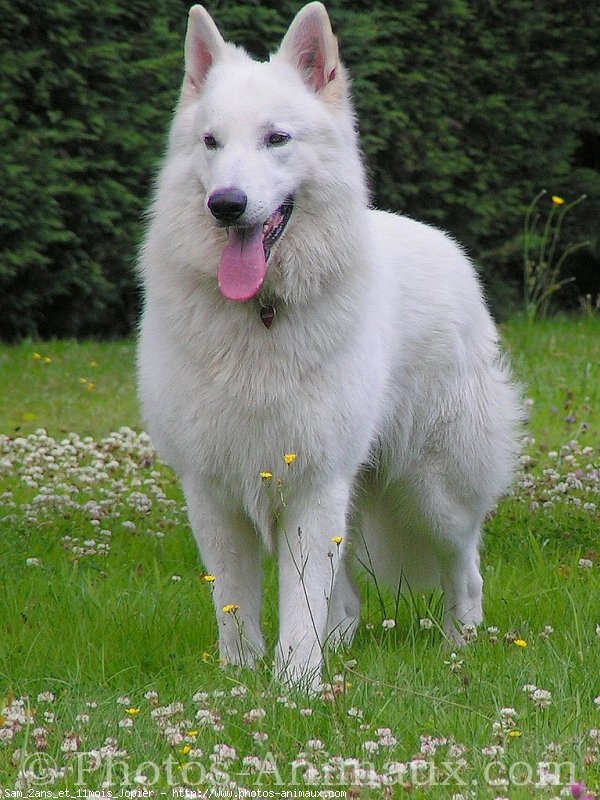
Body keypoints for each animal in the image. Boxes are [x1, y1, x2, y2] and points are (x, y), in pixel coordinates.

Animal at [138, 3, 524, 684]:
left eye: (277, 138)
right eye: (211, 143)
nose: (225, 204)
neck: (260, 314)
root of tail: (446, 246)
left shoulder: (314, 483)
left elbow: (299, 599)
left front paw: (295, 684)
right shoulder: (213, 490)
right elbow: (236, 601)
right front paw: (241, 680)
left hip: (434, 493)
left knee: (465, 567)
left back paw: (461, 646)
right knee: (343, 595)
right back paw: (341, 645)